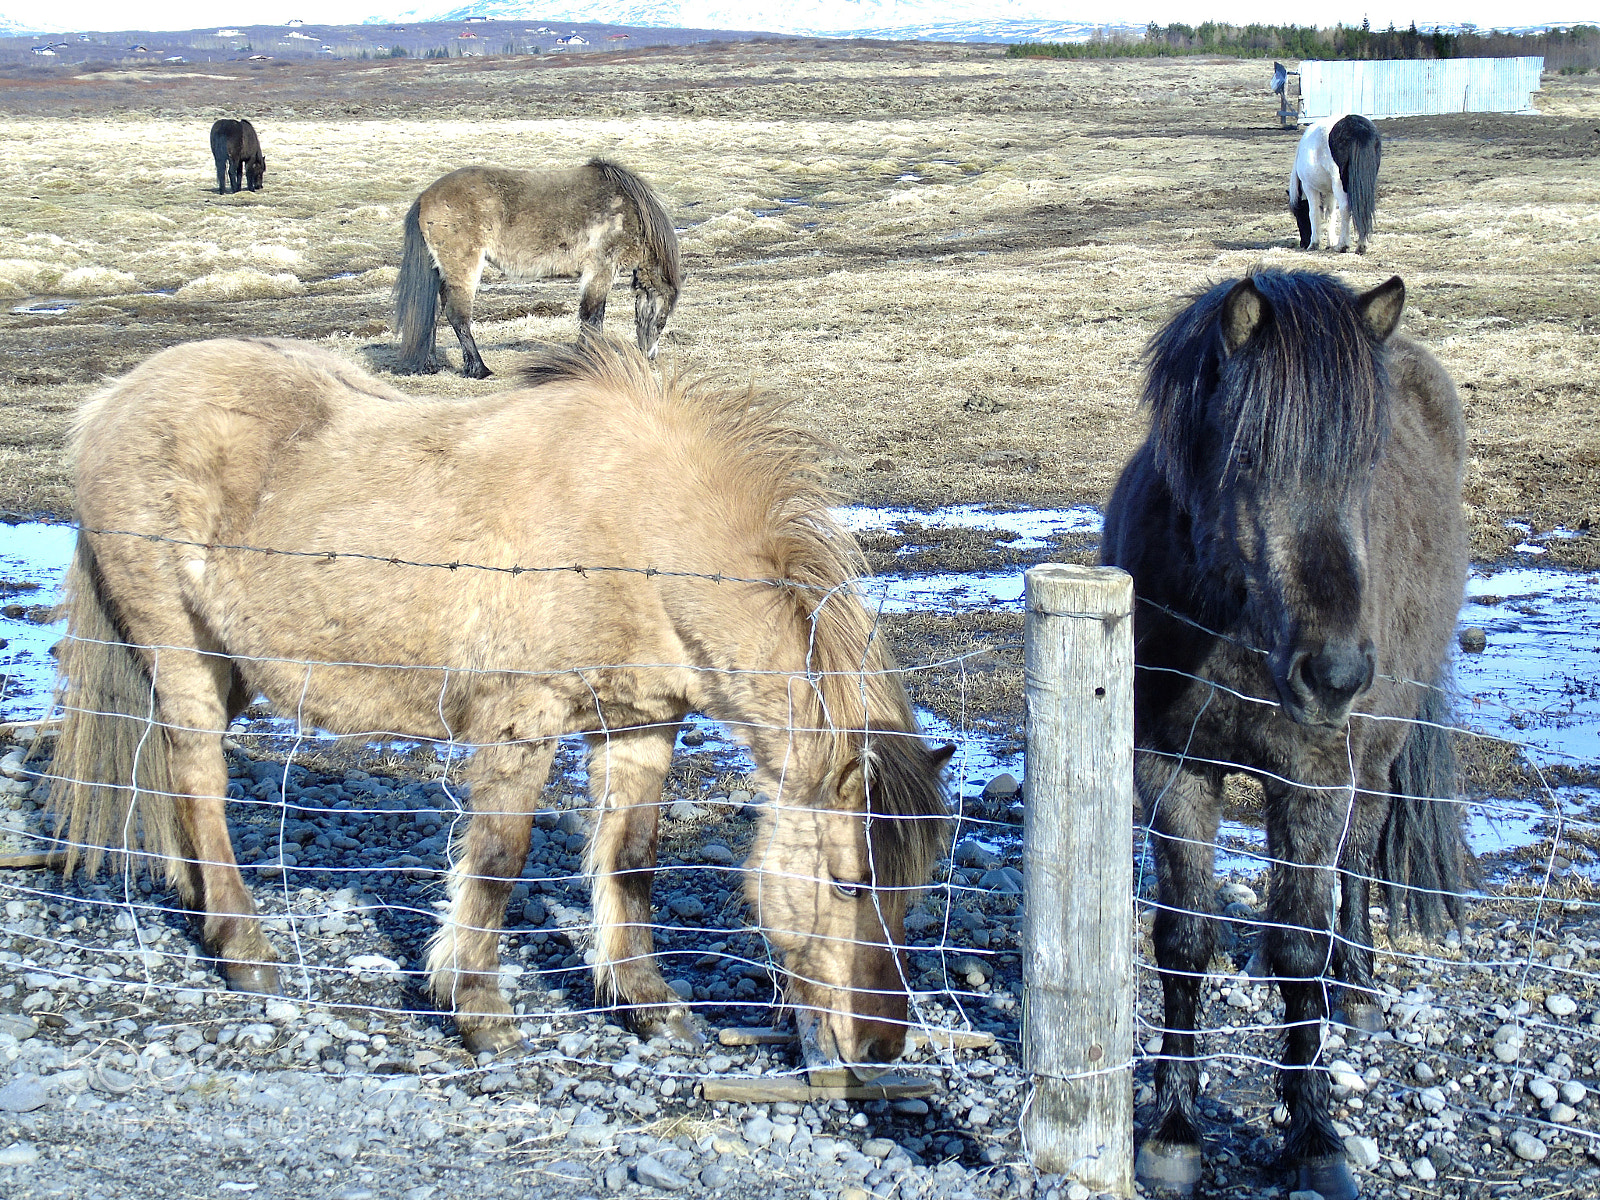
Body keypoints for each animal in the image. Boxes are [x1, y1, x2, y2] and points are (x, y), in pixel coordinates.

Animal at [48, 335, 951, 1063]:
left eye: (912, 891)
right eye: (847, 883)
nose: (879, 1044)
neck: (634, 525)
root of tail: (109, 402)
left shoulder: (643, 726)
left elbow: (631, 860)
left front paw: (649, 1005)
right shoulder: (522, 723)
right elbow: (496, 861)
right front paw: (479, 1009)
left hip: (229, 665)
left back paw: (201, 906)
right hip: (181, 652)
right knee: (200, 777)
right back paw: (246, 950)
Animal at [393, 160, 681, 379]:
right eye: (662, 319)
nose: (650, 357)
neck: (630, 211)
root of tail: (425, 197)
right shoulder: (600, 270)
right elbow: (593, 317)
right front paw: (591, 358)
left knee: (433, 314)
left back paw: (429, 366)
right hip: (464, 266)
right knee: (457, 315)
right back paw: (479, 369)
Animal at [1102, 269, 1471, 1199]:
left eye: (1364, 466)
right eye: (1247, 458)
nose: (1334, 675)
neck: (1234, 629)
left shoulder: (1311, 780)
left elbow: (1299, 948)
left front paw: (1311, 1136)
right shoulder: (1172, 771)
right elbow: (1182, 940)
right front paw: (1174, 1127)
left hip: (1375, 753)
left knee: (1357, 859)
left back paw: (1361, 985)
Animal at [1288, 114, 1381, 254]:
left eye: (1298, 215)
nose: (1303, 244)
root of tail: (1357, 127)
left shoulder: (1309, 187)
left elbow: (1314, 212)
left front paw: (1314, 243)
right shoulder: (1330, 191)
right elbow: (1330, 214)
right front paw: (1331, 242)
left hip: (1338, 184)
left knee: (1345, 208)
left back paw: (1343, 245)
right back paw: (1361, 245)